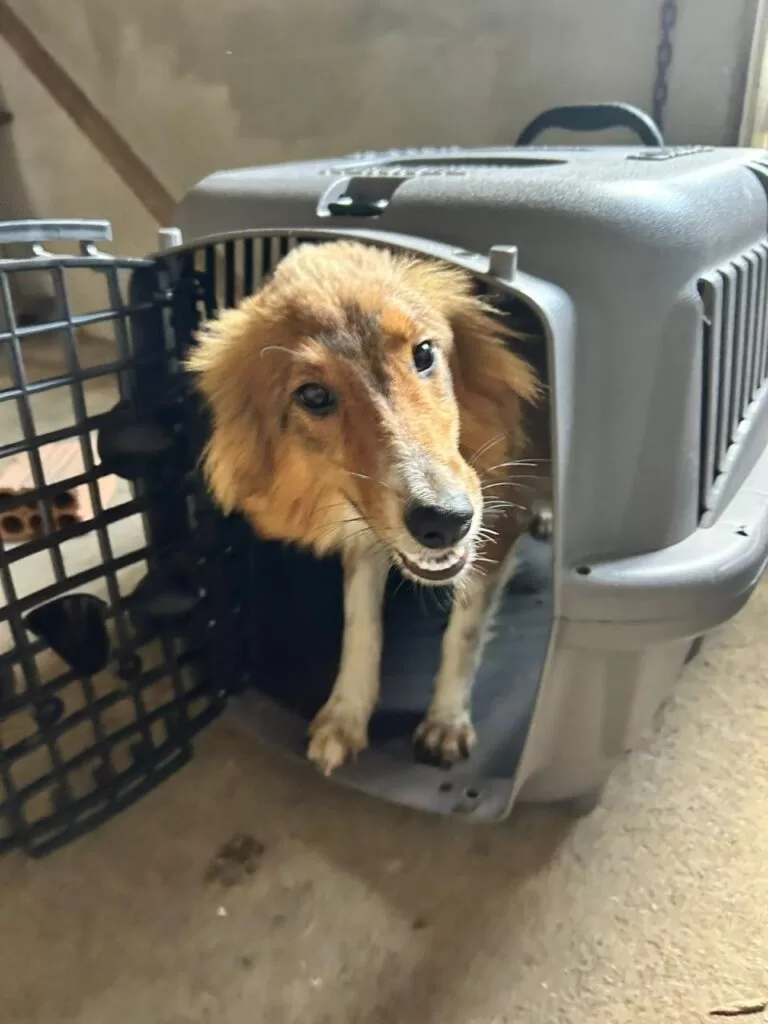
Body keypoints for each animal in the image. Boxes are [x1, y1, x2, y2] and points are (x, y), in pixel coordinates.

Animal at [188, 240, 549, 775]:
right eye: (313, 394)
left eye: (424, 353)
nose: (445, 522)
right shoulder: (366, 532)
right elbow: (361, 626)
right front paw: (345, 717)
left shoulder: (499, 519)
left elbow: (462, 633)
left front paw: (445, 722)